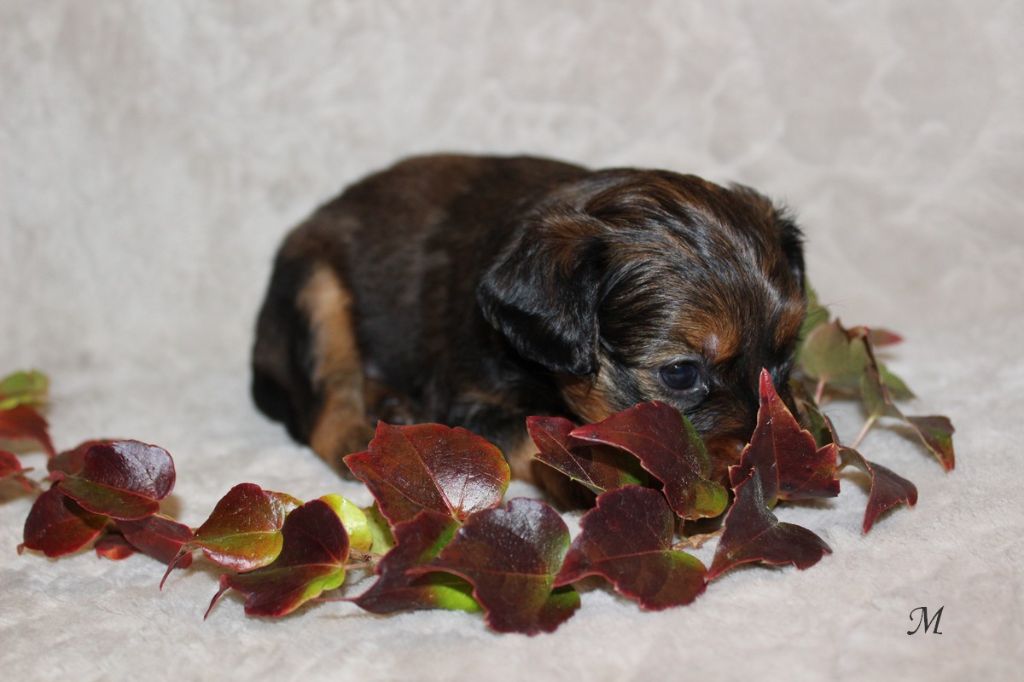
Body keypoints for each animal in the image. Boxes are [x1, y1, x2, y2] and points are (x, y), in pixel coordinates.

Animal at [251, 154, 807, 483]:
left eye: (784, 360)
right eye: (680, 373)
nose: (769, 462)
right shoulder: (467, 403)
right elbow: (541, 438)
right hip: (316, 291)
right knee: (329, 413)